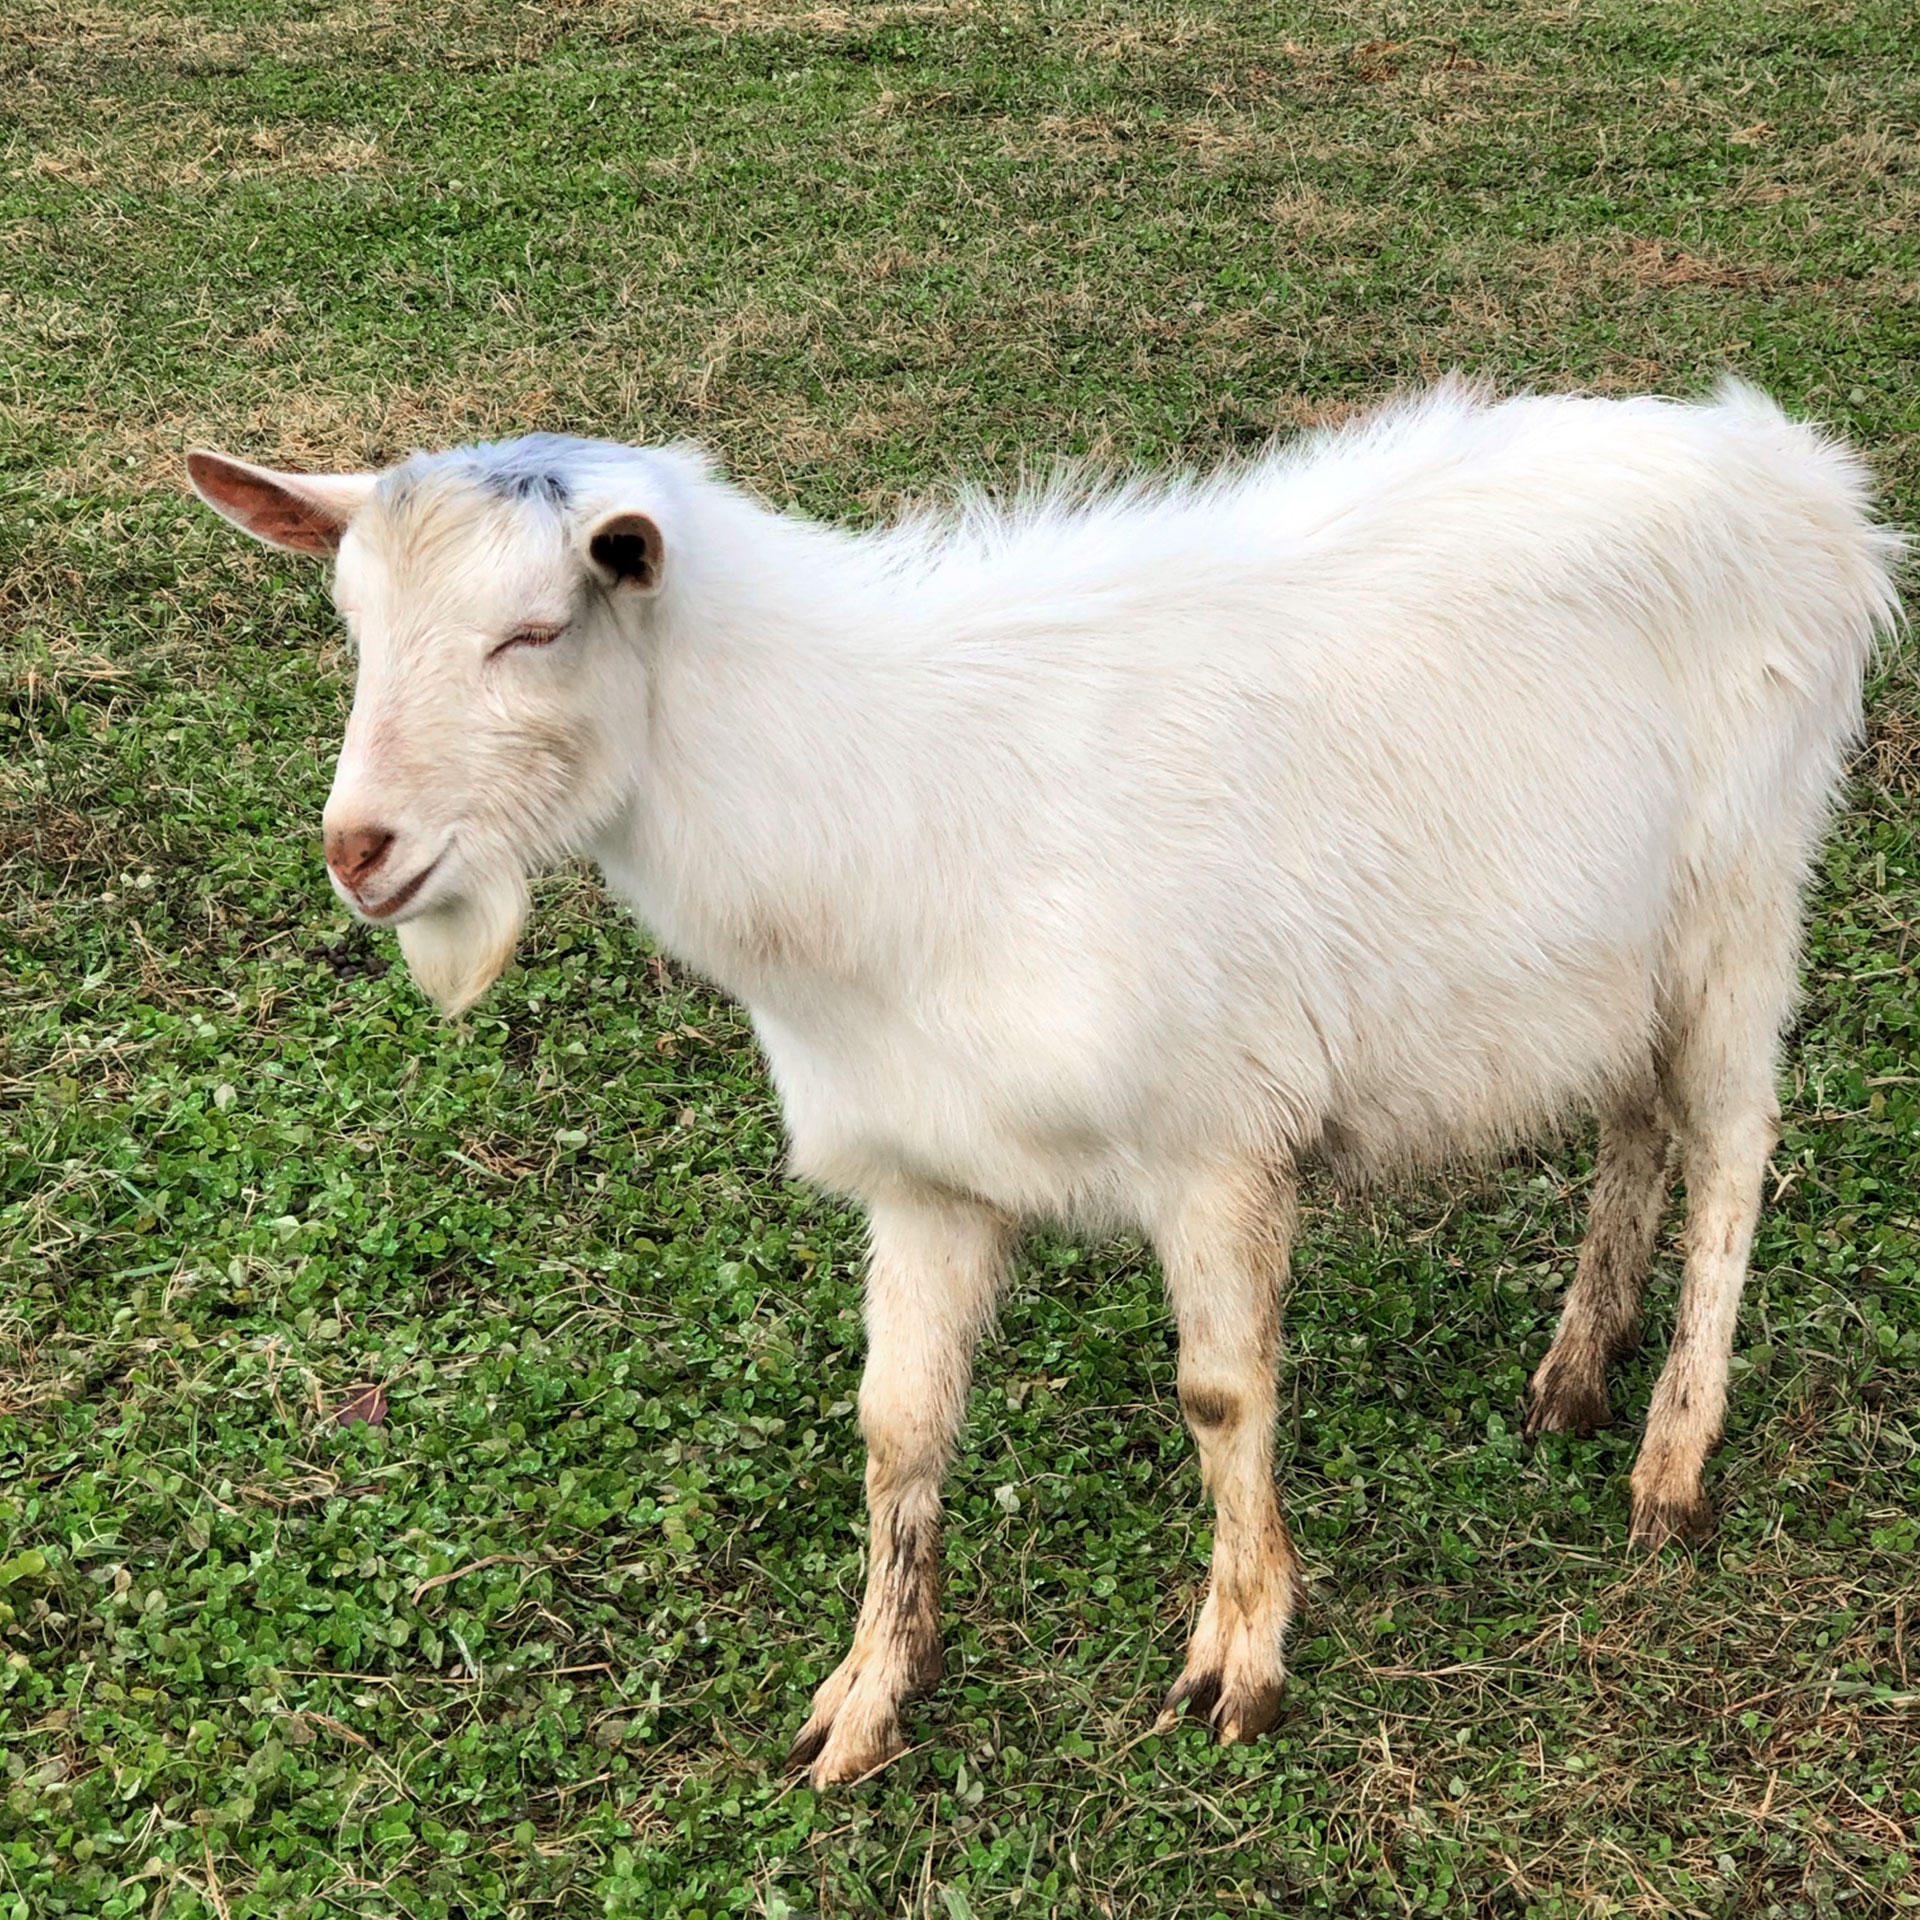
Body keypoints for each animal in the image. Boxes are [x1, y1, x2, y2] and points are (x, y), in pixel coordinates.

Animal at [189, 381, 1902, 1786]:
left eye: (536, 629)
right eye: (354, 623)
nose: (360, 853)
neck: (888, 801)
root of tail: (1804, 471)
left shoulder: (1217, 1138)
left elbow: (1222, 1396)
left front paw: (1241, 1661)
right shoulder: (921, 1172)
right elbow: (896, 1428)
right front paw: (866, 1702)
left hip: (1747, 898)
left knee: (1733, 1146)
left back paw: (1671, 1461)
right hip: (1614, 959)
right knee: (1634, 1121)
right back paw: (1572, 1372)